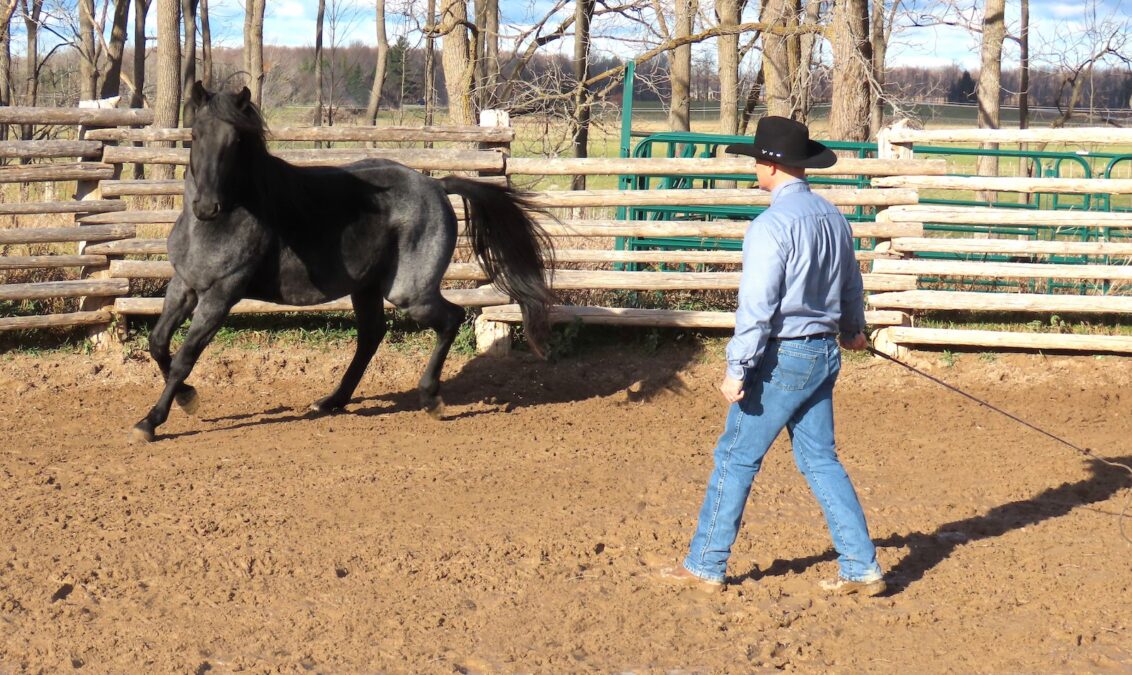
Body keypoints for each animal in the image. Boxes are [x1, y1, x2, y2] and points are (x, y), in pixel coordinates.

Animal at [131, 82, 555, 442]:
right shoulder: (184, 285)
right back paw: (332, 401)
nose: (207, 207)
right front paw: (187, 398)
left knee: (449, 319)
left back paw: (430, 399)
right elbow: (158, 344)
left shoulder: (221, 295)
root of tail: (436, 185)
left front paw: (150, 421)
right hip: (366, 287)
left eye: (236, 141)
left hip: (409, 292)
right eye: (195, 135)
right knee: (371, 335)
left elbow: (185, 356)